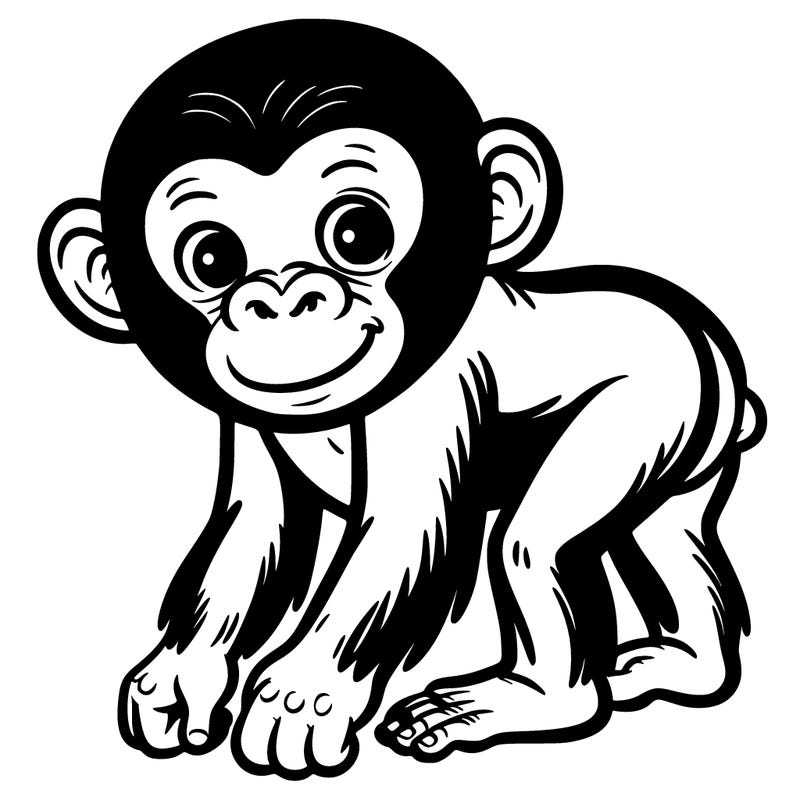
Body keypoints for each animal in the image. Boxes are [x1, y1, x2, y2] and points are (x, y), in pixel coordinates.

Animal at [39, 20, 765, 779]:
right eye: (211, 259)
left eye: (358, 233)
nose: (283, 295)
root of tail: (715, 355)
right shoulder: (243, 418)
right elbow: (253, 531)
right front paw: (181, 674)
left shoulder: (436, 389)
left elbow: (400, 534)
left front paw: (304, 695)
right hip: (688, 455)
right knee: (669, 537)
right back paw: (687, 664)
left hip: (649, 410)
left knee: (534, 544)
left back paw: (528, 700)